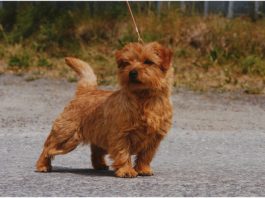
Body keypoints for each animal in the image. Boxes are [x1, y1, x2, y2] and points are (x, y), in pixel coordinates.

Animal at [36, 41, 173, 178]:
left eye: (148, 62)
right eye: (126, 63)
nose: (132, 72)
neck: (144, 98)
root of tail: (86, 91)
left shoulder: (154, 138)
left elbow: (146, 156)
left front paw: (143, 169)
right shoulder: (120, 135)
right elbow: (123, 153)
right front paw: (126, 170)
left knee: (95, 150)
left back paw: (100, 165)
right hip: (67, 136)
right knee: (48, 147)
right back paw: (42, 165)